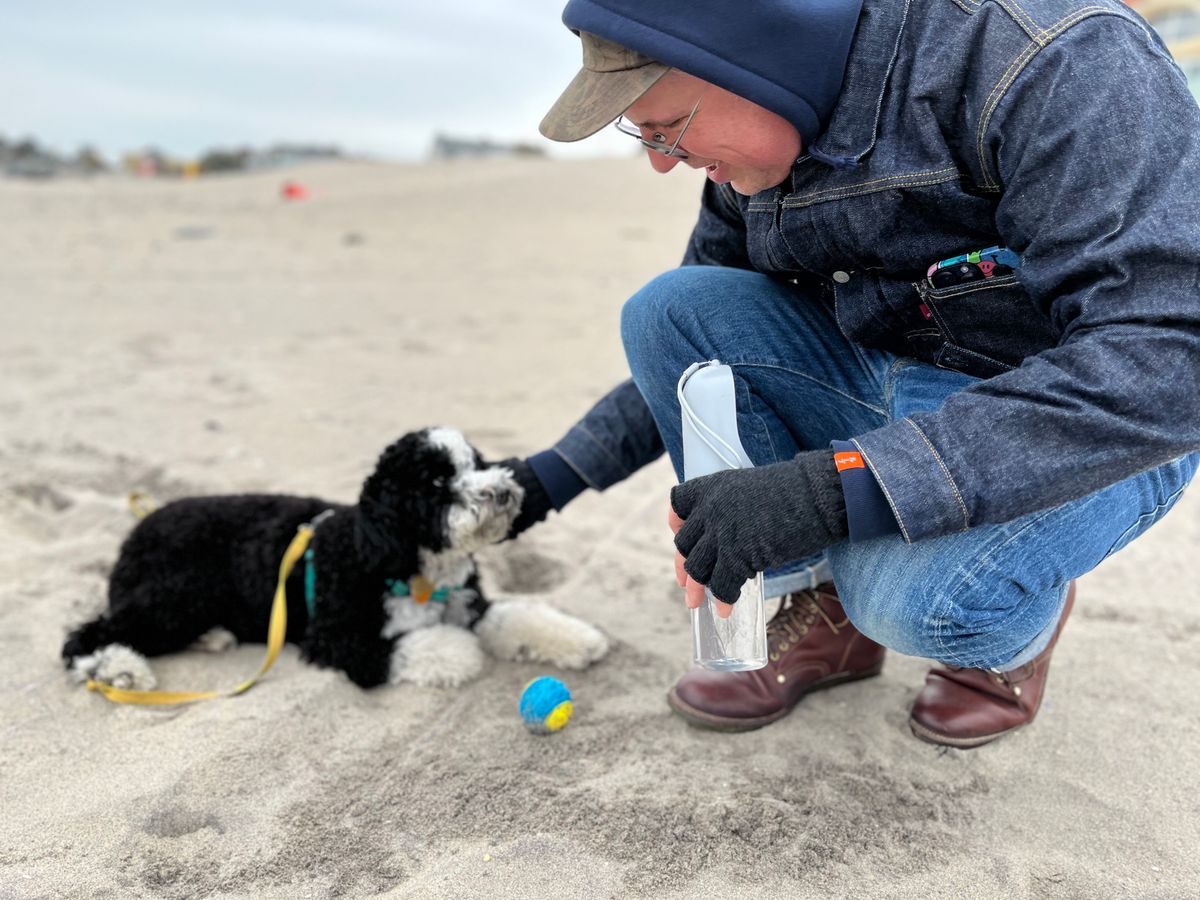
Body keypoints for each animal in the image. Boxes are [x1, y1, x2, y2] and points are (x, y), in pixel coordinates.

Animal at [63, 427, 609, 691]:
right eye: (436, 482)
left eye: (477, 463)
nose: (503, 491)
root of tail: (137, 528)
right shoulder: (335, 637)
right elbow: (423, 645)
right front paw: (456, 650)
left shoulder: (468, 604)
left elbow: (513, 616)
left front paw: (576, 639)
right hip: (172, 596)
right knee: (85, 636)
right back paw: (117, 670)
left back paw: (210, 637)